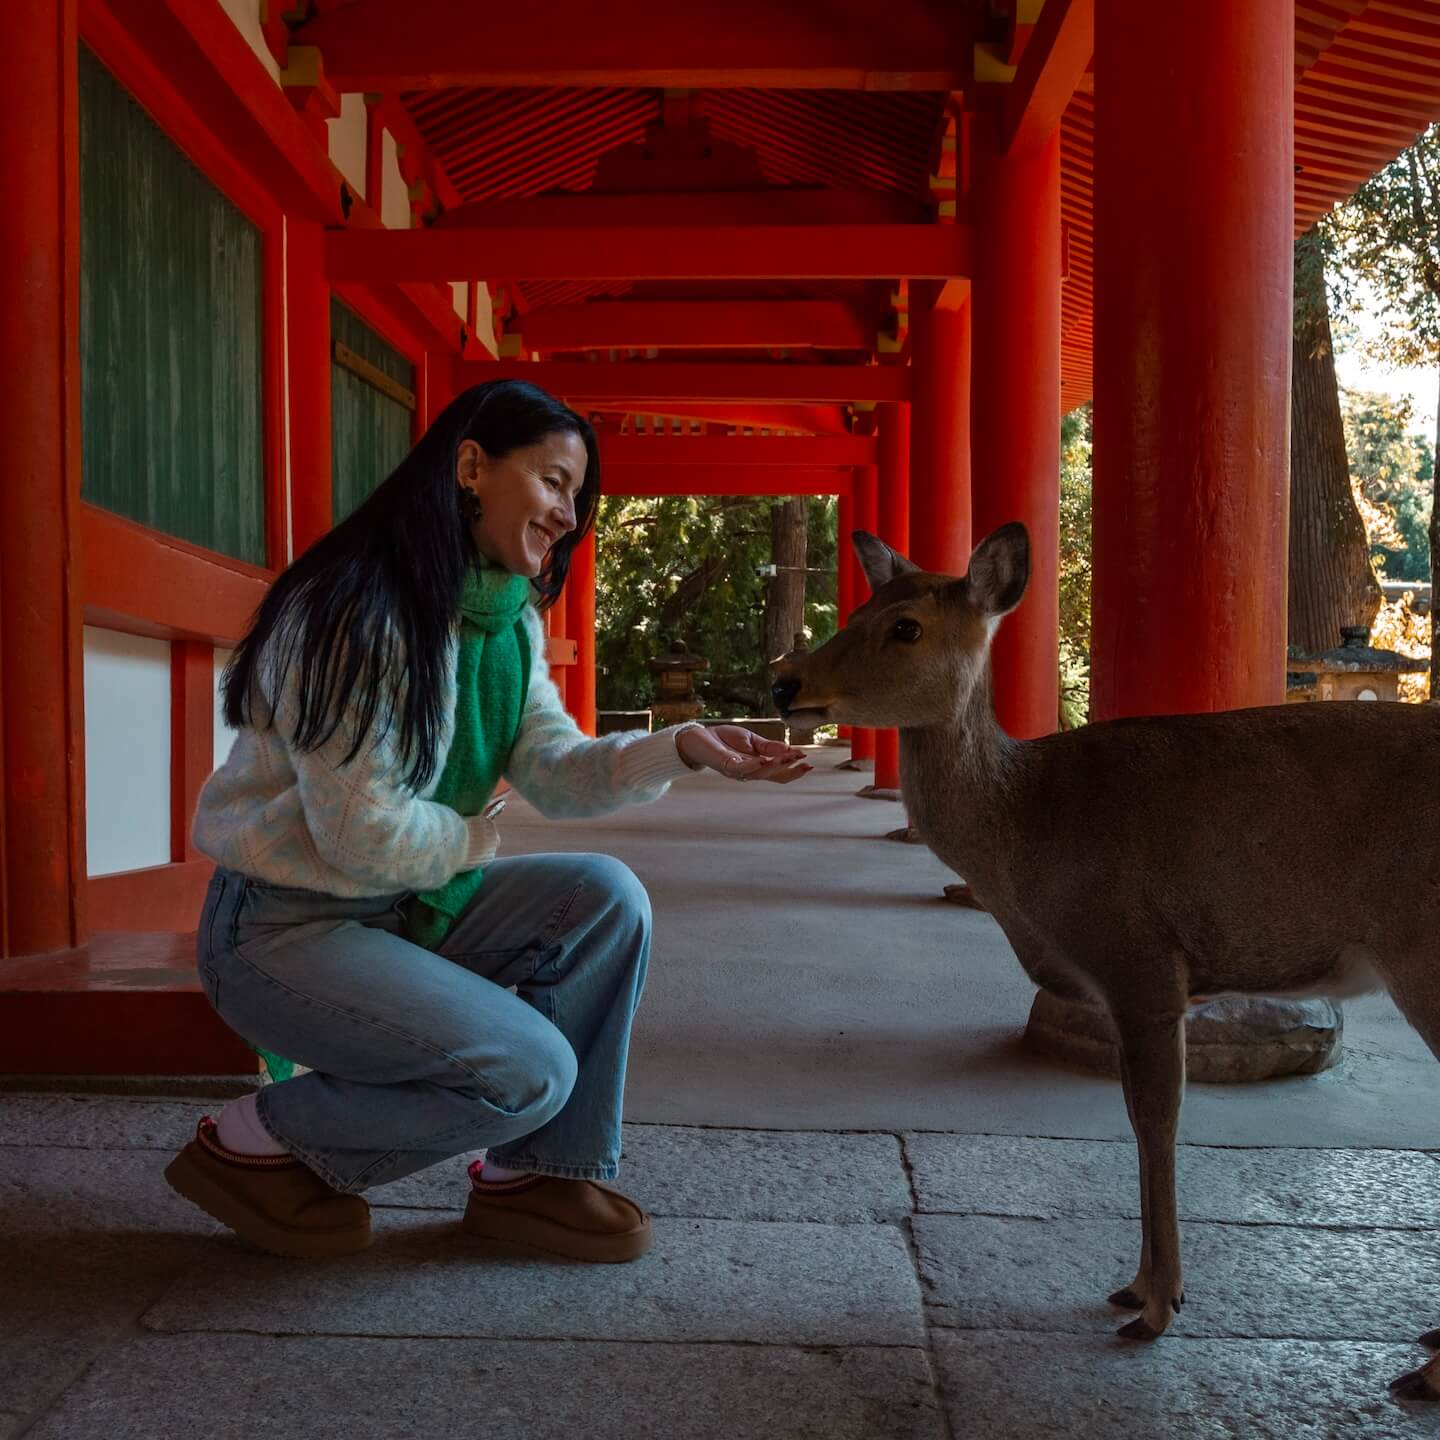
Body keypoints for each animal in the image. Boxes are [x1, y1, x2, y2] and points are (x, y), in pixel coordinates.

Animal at [771, 524, 1440, 1399]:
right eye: (856, 609)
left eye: (905, 626)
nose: (784, 684)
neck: (1029, 839)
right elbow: (1131, 1112)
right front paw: (1133, 1284)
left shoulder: (1139, 957)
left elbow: (1157, 1117)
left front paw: (1158, 1307)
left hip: (1423, 949)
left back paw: (1429, 1367)